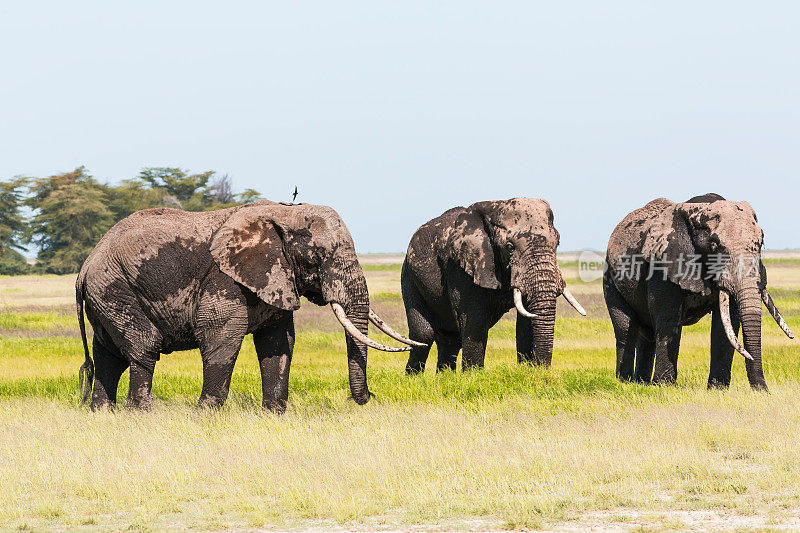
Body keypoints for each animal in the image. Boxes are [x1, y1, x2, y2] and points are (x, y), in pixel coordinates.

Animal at [75, 200, 418, 412]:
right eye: (318, 257)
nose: (368, 397)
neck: (283, 213)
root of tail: (85, 267)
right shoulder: (224, 277)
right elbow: (221, 336)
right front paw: (206, 416)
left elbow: (279, 343)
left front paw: (274, 414)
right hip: (115, 289)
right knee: (144, 346)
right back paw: (141, 413)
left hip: (106, 296)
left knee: (108, 355)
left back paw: (102, 413)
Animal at [404, 197, 584, 372]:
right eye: (510, 247)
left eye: (558, 243)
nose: (542, 370)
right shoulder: (460, 267)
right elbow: (475, 322)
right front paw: (474, 376)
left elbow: (525, 323)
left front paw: (528, 372)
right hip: (409, 275)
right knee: (423, 334)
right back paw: (414, 377)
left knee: (450, 339)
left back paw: (445, 376)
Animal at [608, 193, 792, 388]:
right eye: (714, 246)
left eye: (761, 242)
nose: (763, 391)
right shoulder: (663, 265)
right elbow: (668, 318)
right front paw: (665, 387)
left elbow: (727, 322)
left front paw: (717, 389)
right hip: (610, 277)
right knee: (626, 328)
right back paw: (626, 382)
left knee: (647, 334)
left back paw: (641, 383)